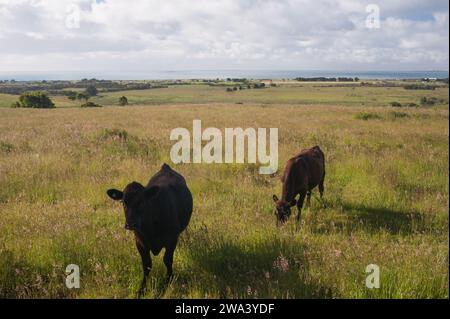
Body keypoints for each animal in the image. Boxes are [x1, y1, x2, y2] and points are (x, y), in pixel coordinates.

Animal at [108, 164, 193, 298]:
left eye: (142, 202)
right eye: (123, 202)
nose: (130, 224)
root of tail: (166, 167)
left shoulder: (172, 240)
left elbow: (167, 260)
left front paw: (167, 283)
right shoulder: (140, 242)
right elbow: (146, 265)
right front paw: (142, 290)